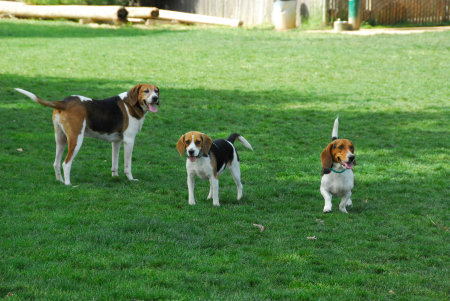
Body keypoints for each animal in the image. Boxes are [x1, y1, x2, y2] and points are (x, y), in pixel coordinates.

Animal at [14, 83, 160, 184]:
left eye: (156, 90)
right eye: (146, 91)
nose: (155, 98)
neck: (130, 103)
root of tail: (64, 102)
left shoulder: (116, 141)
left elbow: (115, 163)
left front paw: (115, 177)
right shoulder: (129, 141)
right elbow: (127, 165)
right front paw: (131, 179)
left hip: (60, 139)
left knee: (56, 163)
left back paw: (60, 181)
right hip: (76, 139)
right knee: (66, 163)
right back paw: (68, 184)